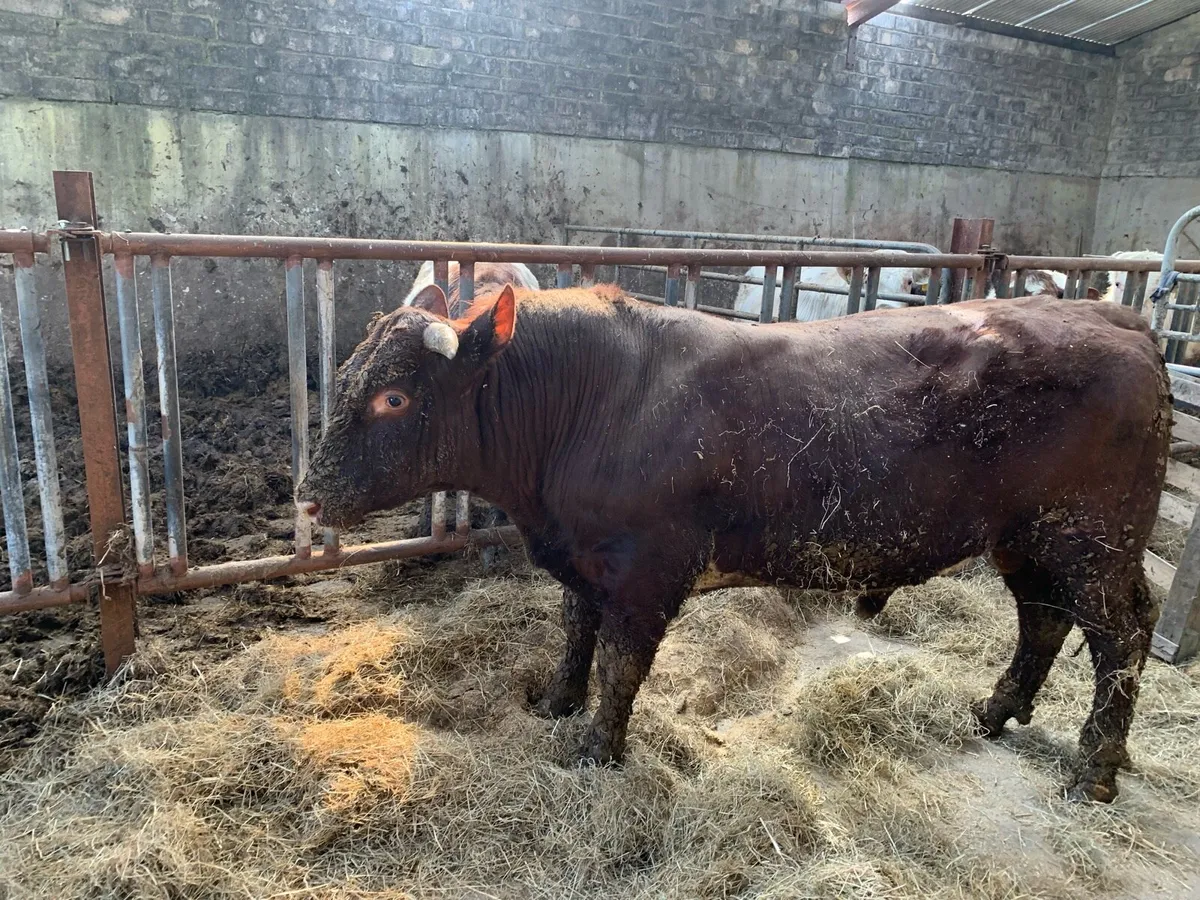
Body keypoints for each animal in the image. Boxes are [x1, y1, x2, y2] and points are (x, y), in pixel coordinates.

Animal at [297, 284, 1169, 803]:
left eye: (393, 396)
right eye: (347, 377)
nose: (310, 493)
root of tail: (1110, 316)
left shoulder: (647, 571)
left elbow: (620, 665)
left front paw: (596, 751)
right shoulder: (583, 562)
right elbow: (575, 633)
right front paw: (554, 703)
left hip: (1092, 541)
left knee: (1121, 634)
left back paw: (1094, 770)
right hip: (1027, 540)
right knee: (1042, 619)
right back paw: (995, 711)